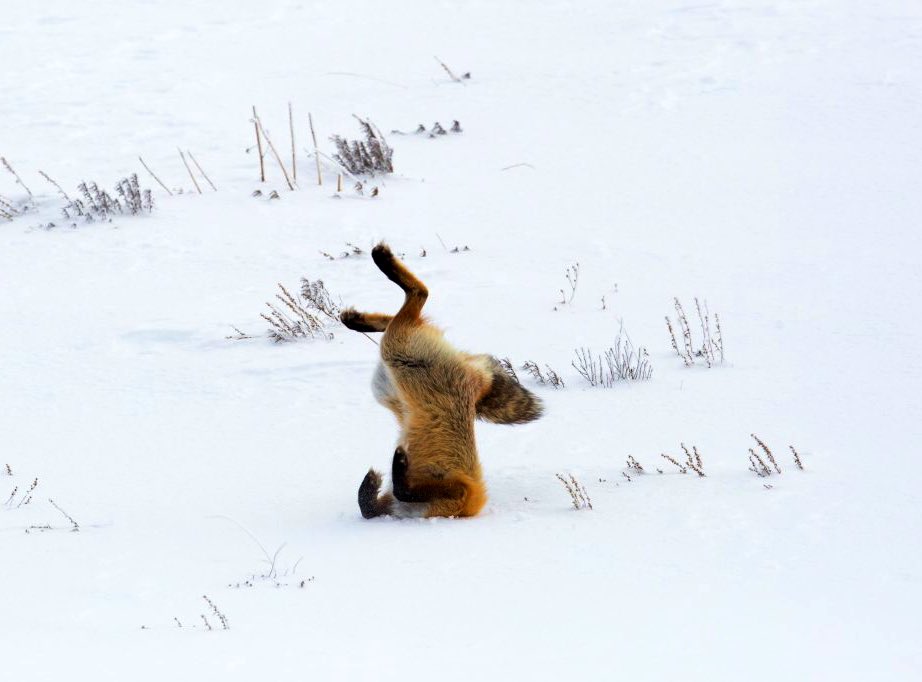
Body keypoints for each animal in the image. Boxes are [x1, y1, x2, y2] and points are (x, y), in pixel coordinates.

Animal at [340, 242, 543, 519]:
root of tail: (474, 380)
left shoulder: (459, 491)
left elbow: (389, 498)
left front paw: (391, 468)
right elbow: (372, 505)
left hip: (395, 360)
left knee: (417, 297)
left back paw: (379, 268)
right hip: (393, 368)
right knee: (409, 307)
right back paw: (359, 313)